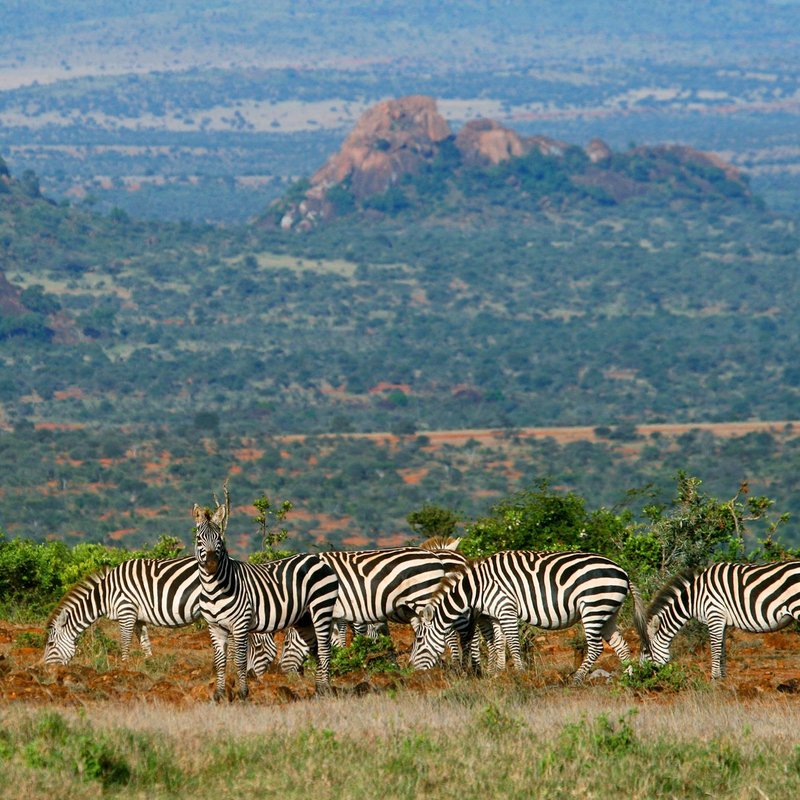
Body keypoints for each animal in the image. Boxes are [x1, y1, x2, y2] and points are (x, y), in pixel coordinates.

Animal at [44, 556, 277, 675]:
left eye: (50, 644)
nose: (44, 669)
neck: (106, 594)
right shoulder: (138, 618)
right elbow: (145, 643)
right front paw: (150, 664)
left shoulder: (126, 610)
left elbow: (125, 642)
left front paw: (123, 666)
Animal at [193, 503, 339, 700]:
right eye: (199, 538)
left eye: (219, 539)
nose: (211, 562)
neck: (213, 588)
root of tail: (317, 559)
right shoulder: (215, 627)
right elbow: (220, 662)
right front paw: (219, 694)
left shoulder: (240, 624)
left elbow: (240, 661)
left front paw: (243, 693)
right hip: (304, 618)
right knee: (316, 649)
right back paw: (318, 690)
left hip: (322, 608)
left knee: (325, 649)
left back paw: (324, 689)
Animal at [278, 539, 468, 673]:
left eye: (286, 643)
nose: (283, 671)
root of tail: (436, 557)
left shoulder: (341, 610)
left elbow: (348, 637)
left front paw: (351, 662)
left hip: (426, 599)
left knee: (449, 633)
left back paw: (457, 665)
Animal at [411, 550, 648, 683]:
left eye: (419, 640)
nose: (411, 670)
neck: (476, 589)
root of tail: (623, 572)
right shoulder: (495, 615)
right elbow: (499, 644)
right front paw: (497, 674)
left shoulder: (506, 608)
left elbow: (513, 644)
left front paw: (520, 674)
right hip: (608, 611)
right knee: (621, 645)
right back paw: (629, 677)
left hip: (594, 606)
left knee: (596, 647)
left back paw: (577, 679)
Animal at [642, 561, 800, 679]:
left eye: (645, 651)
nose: (641, 674)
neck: (694, 597)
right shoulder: (721, 621)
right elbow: (722, 650)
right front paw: (723, 679)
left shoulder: (714, 614)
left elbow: (715, 650)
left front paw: (714, 680)